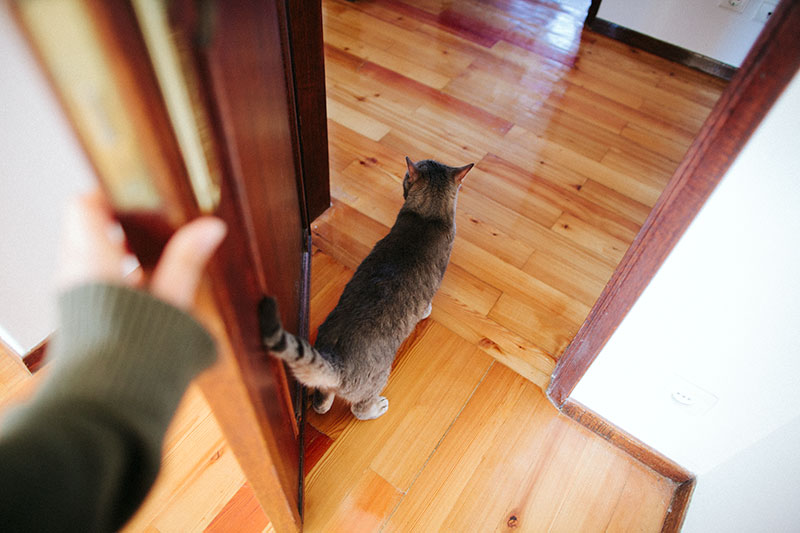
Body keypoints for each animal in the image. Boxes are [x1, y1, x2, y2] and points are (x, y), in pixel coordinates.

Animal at [260, 157, 472, 420]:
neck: (426, 217)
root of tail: (337, 362)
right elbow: (426, 304)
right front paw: (427, 311)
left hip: (325, 384)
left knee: (322, 403)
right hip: (378, 378)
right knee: (358, 408)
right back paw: (377, 407)